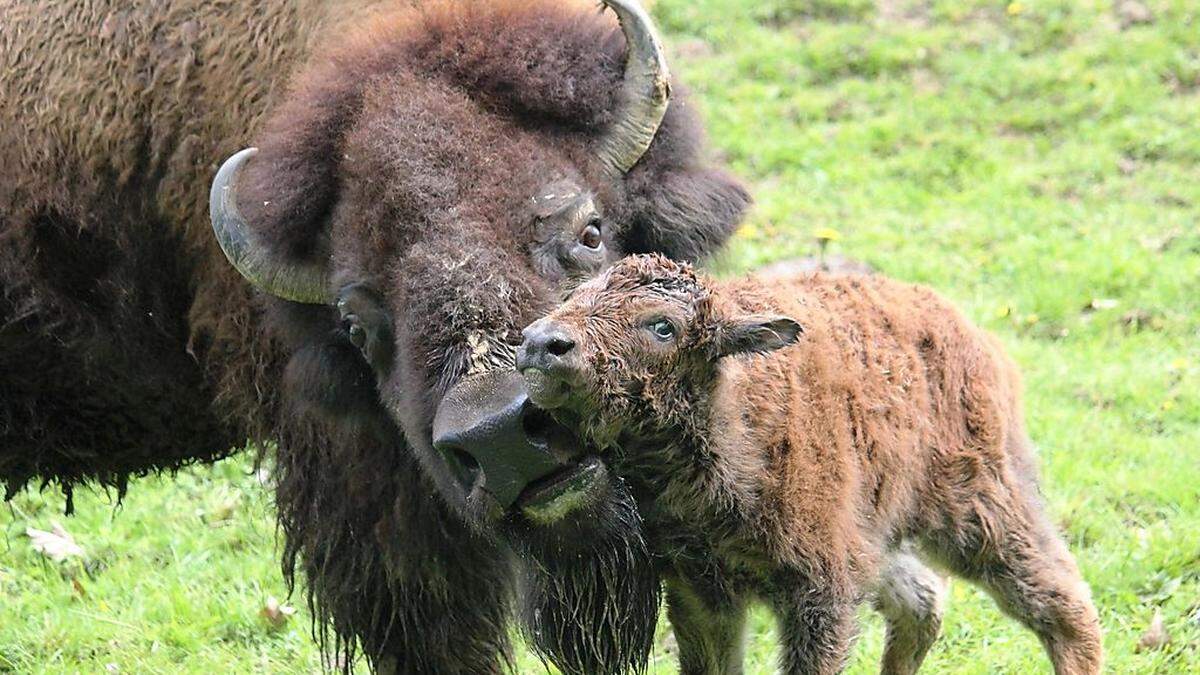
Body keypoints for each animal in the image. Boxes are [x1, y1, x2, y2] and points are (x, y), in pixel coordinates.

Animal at [516, 253, 1104, 672]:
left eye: (663, 326)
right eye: (575, 294)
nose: (542, 343)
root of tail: (976, 337)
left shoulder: (820, 594)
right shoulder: (700, 591)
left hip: (979, 511)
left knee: (1064, 606)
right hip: (882, 536)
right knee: (923, 602)